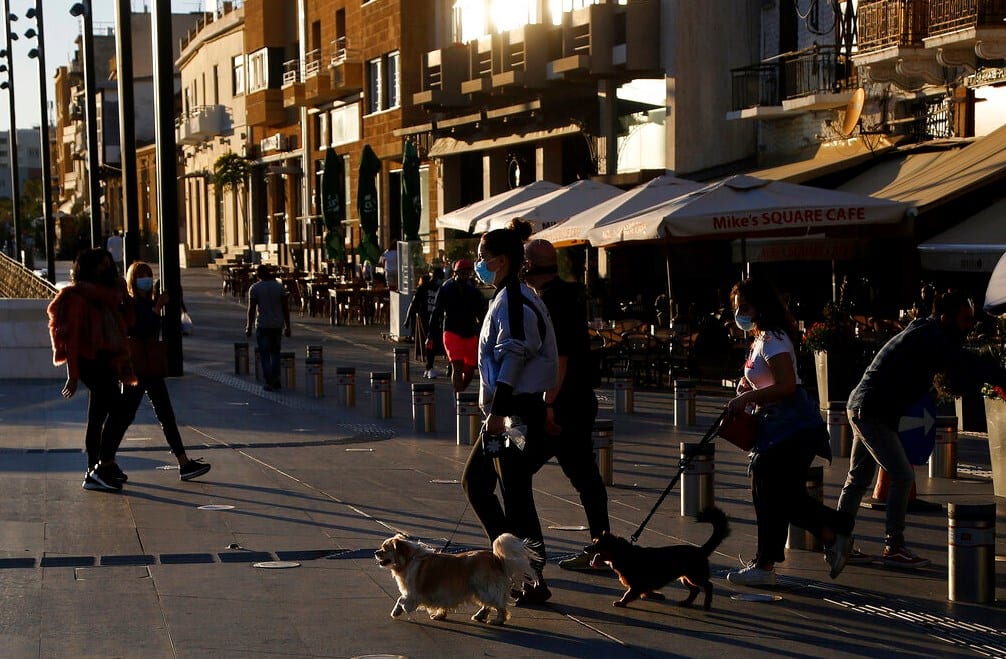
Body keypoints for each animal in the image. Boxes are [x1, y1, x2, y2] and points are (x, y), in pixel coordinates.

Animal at [376, 535, 535, 627]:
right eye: (381, 548)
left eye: (385, 549)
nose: (376, 552)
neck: (408, 559)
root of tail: (496, 558)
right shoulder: (442, 592)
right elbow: (441, 605)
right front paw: (440, 615)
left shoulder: (413, 594)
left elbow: (400, 600)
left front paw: (396, 611)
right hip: (479, 590)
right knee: (488, 605)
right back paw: (479, 616)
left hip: (484, 588)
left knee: (499, 606)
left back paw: (498, 620)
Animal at [587, 507, 728, 611]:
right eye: (594, 542)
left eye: (597, 544)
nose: (585, 548)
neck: (624, 554)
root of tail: (701, 550)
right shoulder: (642, 586)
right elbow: (646, 591)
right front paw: (657, 595)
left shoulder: (637, 585)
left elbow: (628, 594)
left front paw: (621, 602)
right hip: (685, 577)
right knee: (695, 589)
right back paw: (686, 602)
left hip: (695, 576)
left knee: (708, 586)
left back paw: (707, 603)